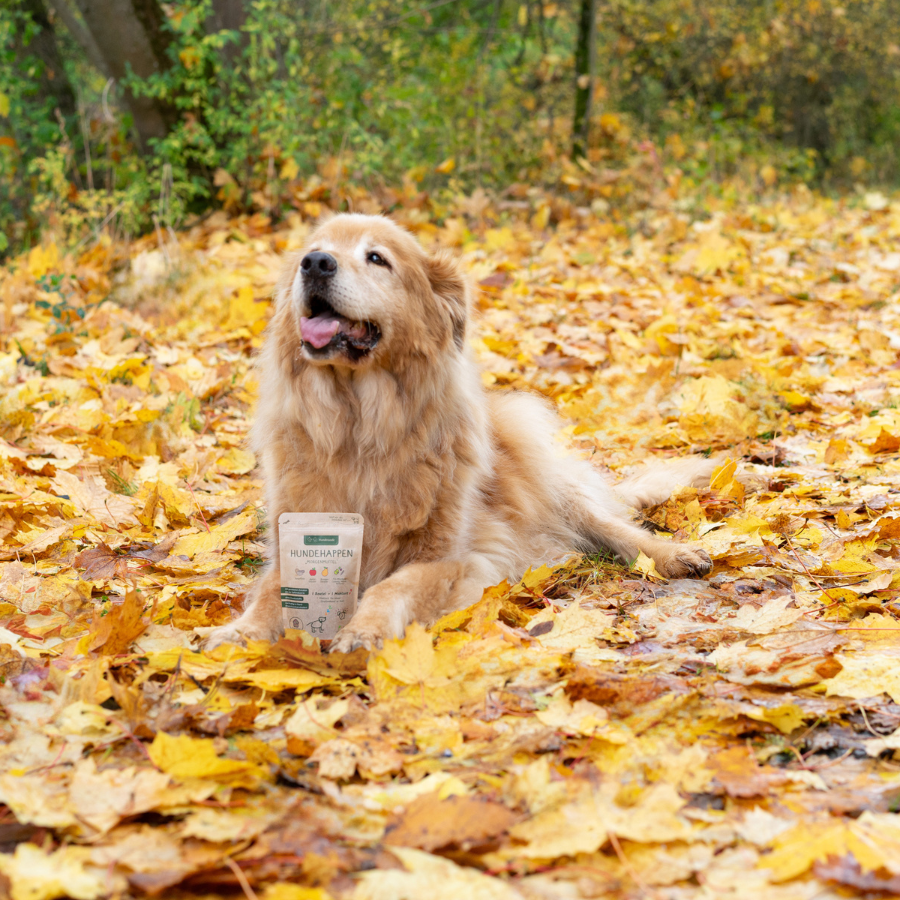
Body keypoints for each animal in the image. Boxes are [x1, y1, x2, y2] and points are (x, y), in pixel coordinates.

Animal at [206, 214, 716, 652]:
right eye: (314, 251)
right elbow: (272, 593)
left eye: (377, 258)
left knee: (616, 530)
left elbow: (391, 587)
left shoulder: (445, 558)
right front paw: (240, 632)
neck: (360, 426)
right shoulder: (290, 541)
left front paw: (364, 631)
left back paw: (674, 555)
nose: (315, 264)